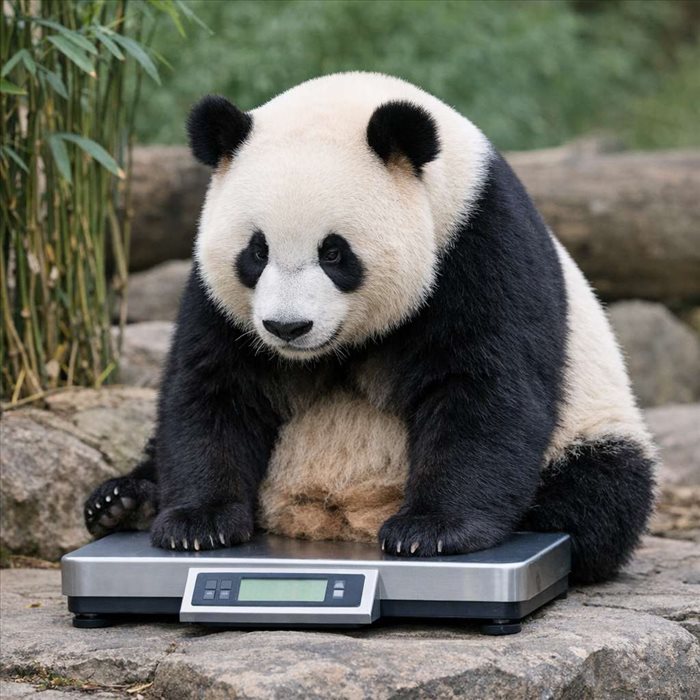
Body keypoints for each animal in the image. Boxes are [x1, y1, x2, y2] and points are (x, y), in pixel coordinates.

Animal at [85, 72, 656, 583]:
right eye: (257, 251)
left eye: (334, 253)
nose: (287, 327)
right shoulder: (218, 299)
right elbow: (215, 388)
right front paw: (196, 523)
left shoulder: (479, 245)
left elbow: (484, 388)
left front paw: (431, 530)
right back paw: (122, 501)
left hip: (591, 424)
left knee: (598, 494)